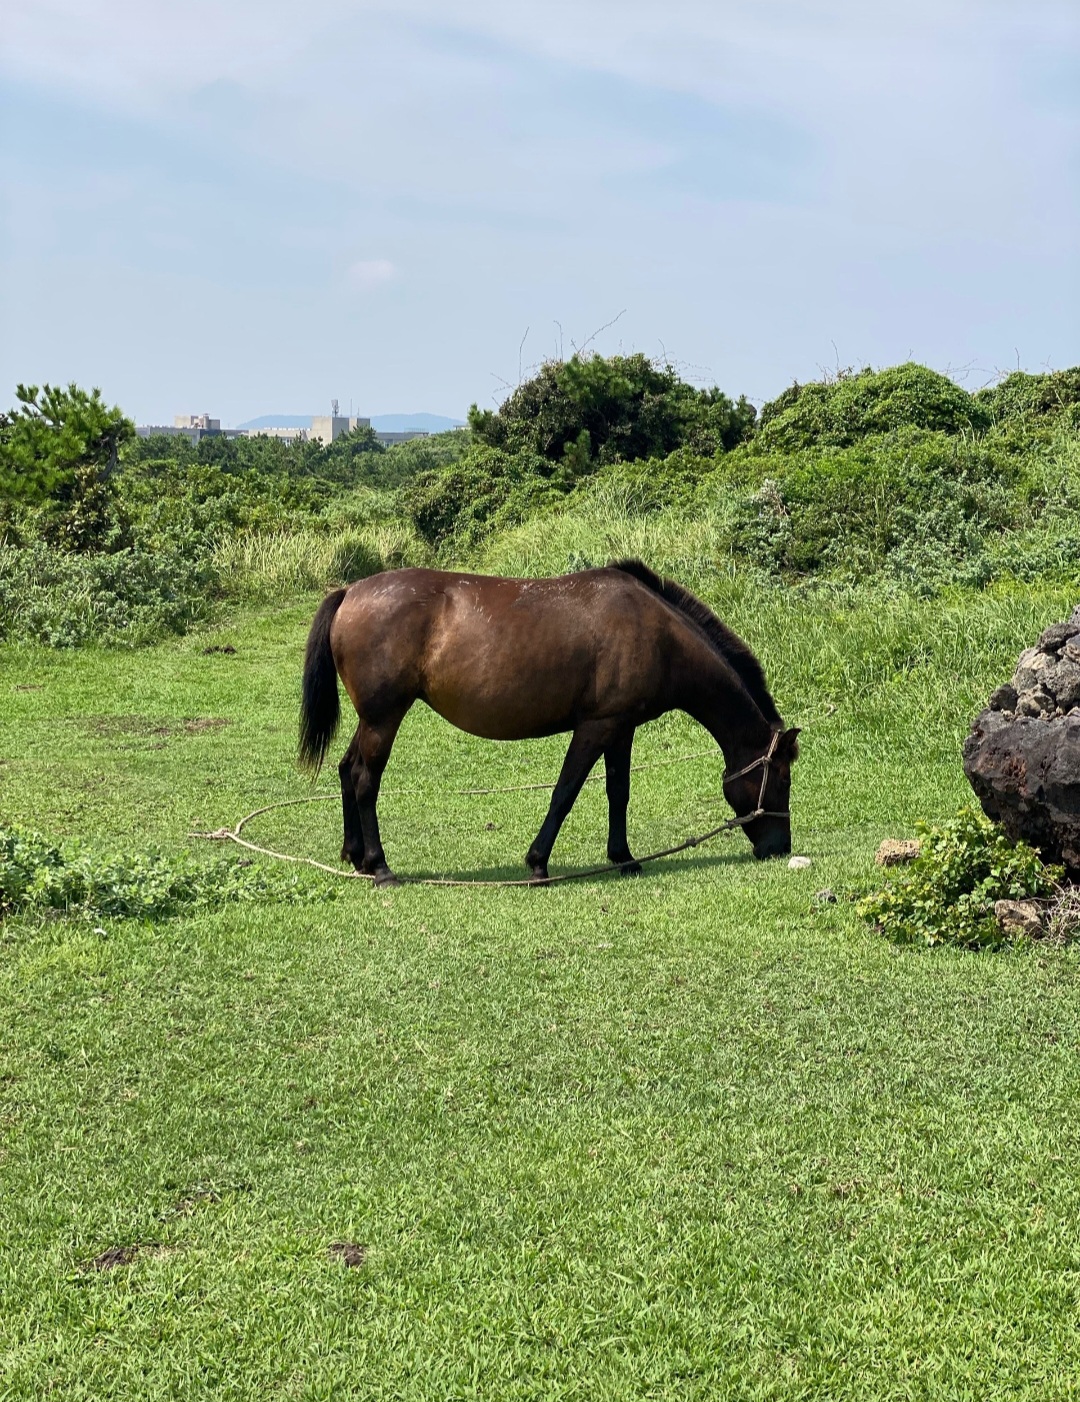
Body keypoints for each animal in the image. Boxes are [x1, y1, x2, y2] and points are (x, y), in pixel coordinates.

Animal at [298, 559, 799, 886]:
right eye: (782, 778)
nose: (780, 847)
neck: (657, 632)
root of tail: (351, 592)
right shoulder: (596, 726)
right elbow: (565, 791)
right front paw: (539, 861)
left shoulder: (622, 728)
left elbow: (618, 792)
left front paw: (624, 858)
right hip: (384, 719)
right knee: (366, 781)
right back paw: (380, 866)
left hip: (371, 720)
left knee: (347, 770)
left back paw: (356, 857)